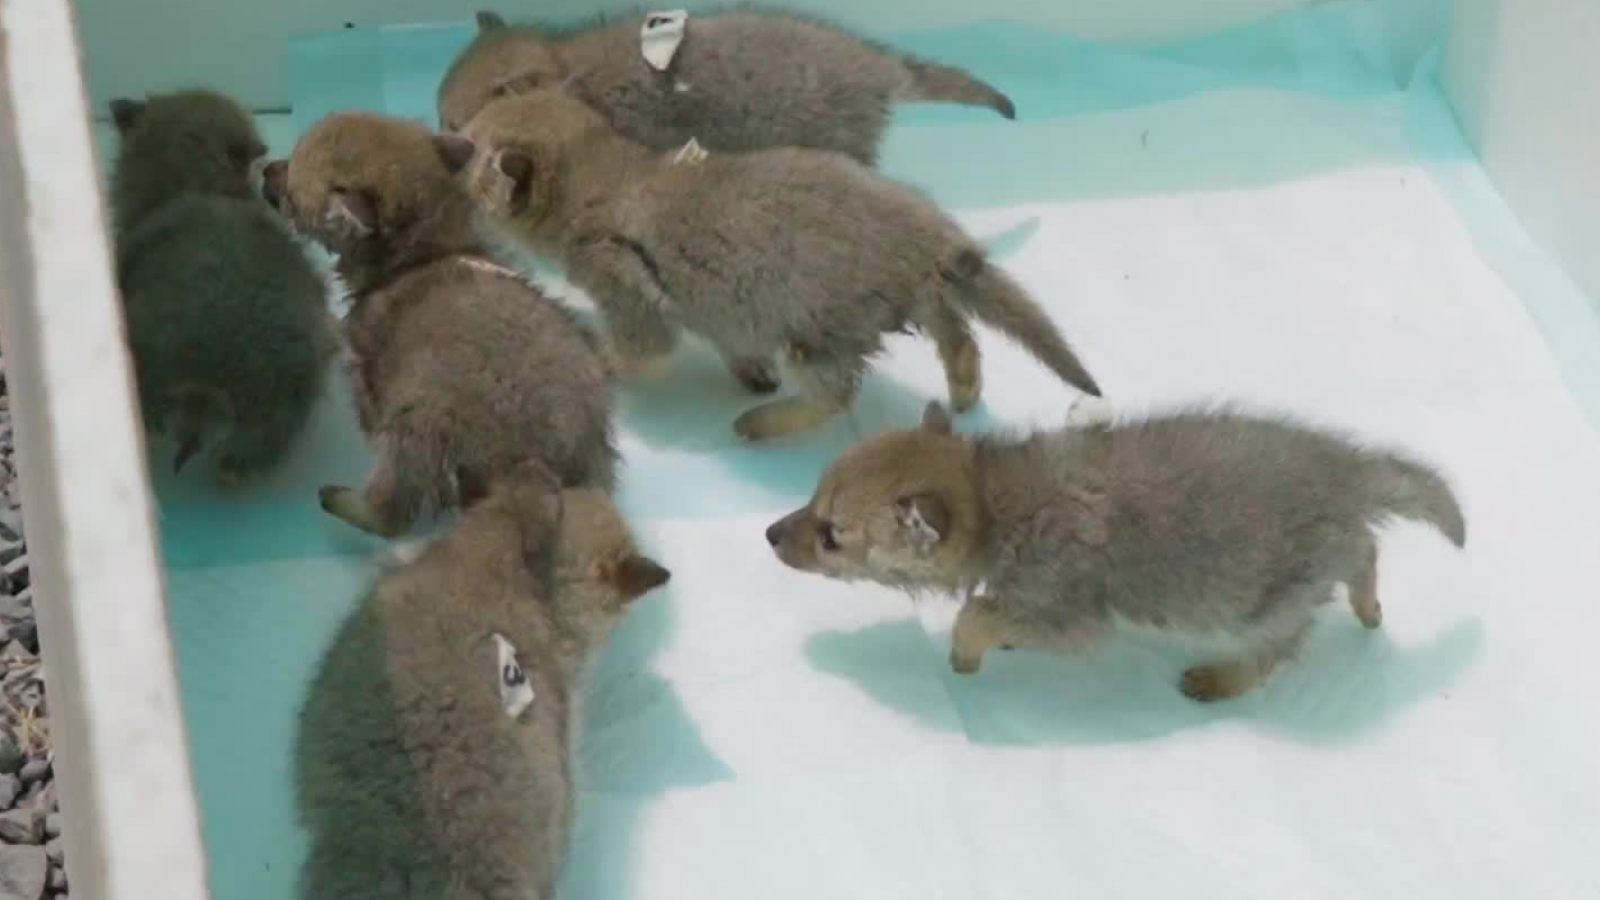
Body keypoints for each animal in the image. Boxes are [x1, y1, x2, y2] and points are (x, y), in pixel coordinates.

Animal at [260, 110, 617, 537]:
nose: (265, 169)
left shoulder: (366, 360)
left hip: (416, 426)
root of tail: (534, 461)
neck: (428, 250)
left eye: (291, 188)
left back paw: (346, 502)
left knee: (391, 513)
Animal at [456, 90, 1101, 442]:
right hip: (922, 295)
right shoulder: (721, 314)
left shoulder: (622, 287)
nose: (445, 132)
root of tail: (926, 235)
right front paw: (748, 371)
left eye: (465, 145)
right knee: (959, 335)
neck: (615, 179)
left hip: (815, 338)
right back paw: (964, 394)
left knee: (839, 394)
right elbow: (729, 343)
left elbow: (640, 351)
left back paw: (759, 423)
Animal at [766, 402, 1467, 701]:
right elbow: (993, 611)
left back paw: (1223, 679)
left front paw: (966, 657)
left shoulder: (1072, 616)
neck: (997, 498)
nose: (769, 534)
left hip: (1261, 602)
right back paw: (1369, 608)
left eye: (831, 534)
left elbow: (976, 615)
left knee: (1282, 643)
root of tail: (1352, 473)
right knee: (1366, 548)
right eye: (812, 496)